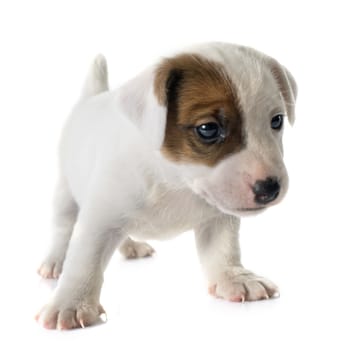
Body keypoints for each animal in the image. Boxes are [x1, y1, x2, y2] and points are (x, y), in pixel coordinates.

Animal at [36, 42, 298, 330]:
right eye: (208, 128)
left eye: (277, 121)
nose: (270, 188)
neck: (175, 180)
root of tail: (92, 98)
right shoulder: (100, 217)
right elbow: (84, 261)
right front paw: (71, 303)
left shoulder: (218, 217)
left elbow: (223, 249)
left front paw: (234, 277)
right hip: (65, 193)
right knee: (63, 229)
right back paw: (55, 260)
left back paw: (130, 246)